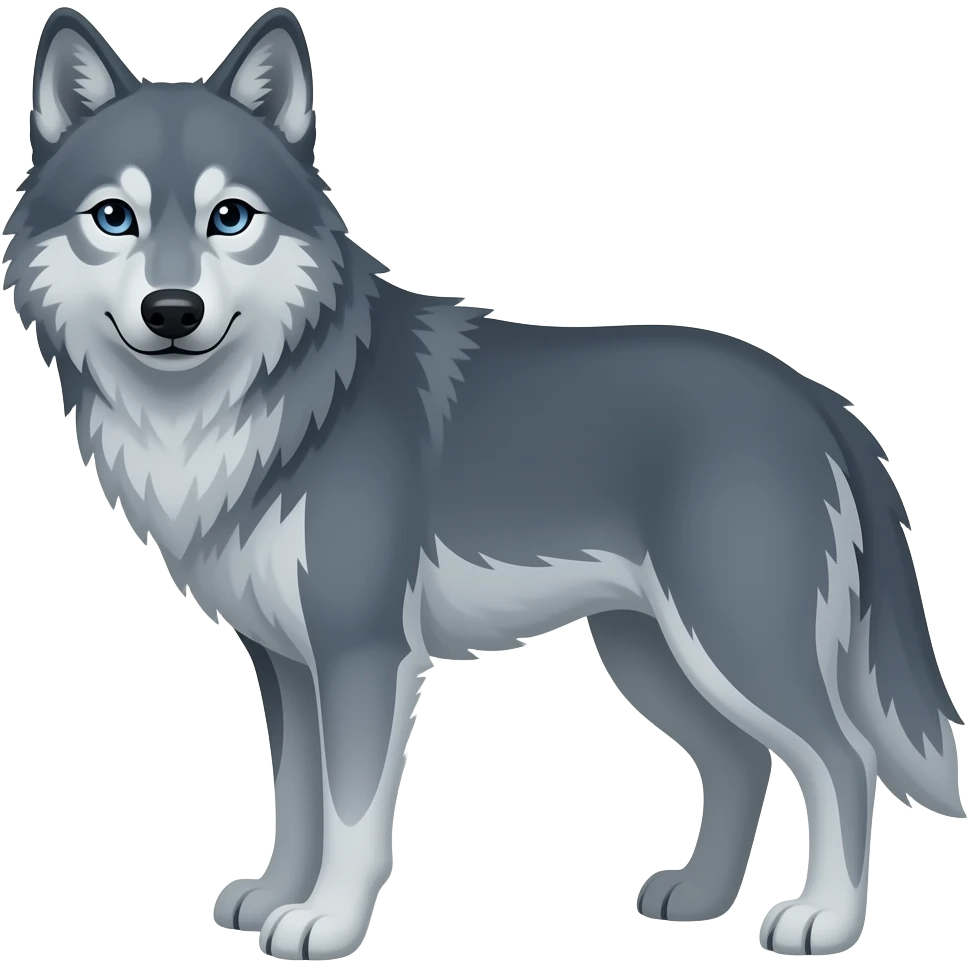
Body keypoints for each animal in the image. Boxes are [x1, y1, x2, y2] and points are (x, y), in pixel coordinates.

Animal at [4, 5, 963, 961]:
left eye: (230, 217)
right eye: (115, 218)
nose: (173, 312)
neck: (262, 407)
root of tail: (817, 398)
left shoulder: (362, 653)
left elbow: (350, 813)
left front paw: (326, 922)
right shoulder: (285, 663)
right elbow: (298, 800)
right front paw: (275, 895)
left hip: (732, 644)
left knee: (842, 760)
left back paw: (823, 920)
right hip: (650, 654)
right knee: (743, 761)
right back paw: (699, 897)